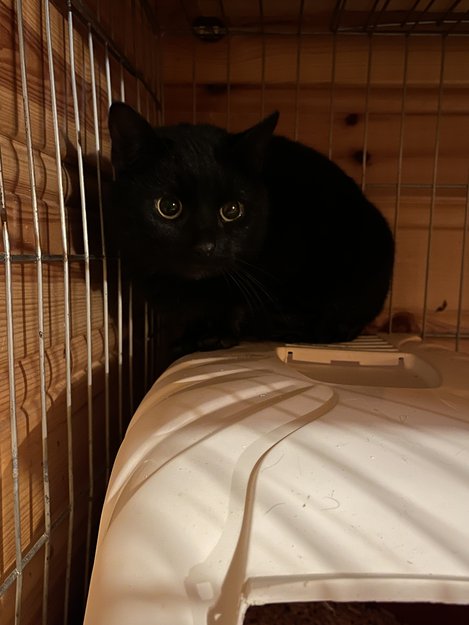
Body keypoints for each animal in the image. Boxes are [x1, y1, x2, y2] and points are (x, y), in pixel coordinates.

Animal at [107, 102, 394, 369]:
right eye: (168, 207)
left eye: (232, 210)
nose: (206, 246)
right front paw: (190, 337)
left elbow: (235, 302)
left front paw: (216, 336)